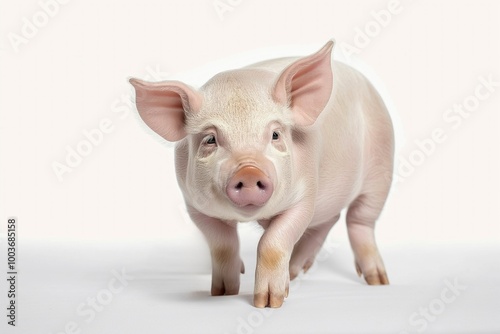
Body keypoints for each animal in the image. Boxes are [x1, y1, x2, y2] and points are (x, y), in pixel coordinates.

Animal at [130, 41, 394, 308]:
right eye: (210, 139)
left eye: (275, 134)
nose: (248, 171)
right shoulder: (194, 205)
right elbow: (222, 246)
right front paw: (222, 292)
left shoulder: (305, 196)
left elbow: (272, 243)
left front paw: (268, 303)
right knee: (328, 220)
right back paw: (296, 271)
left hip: (381, 167)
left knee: (359, 220)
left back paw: (378, 281)